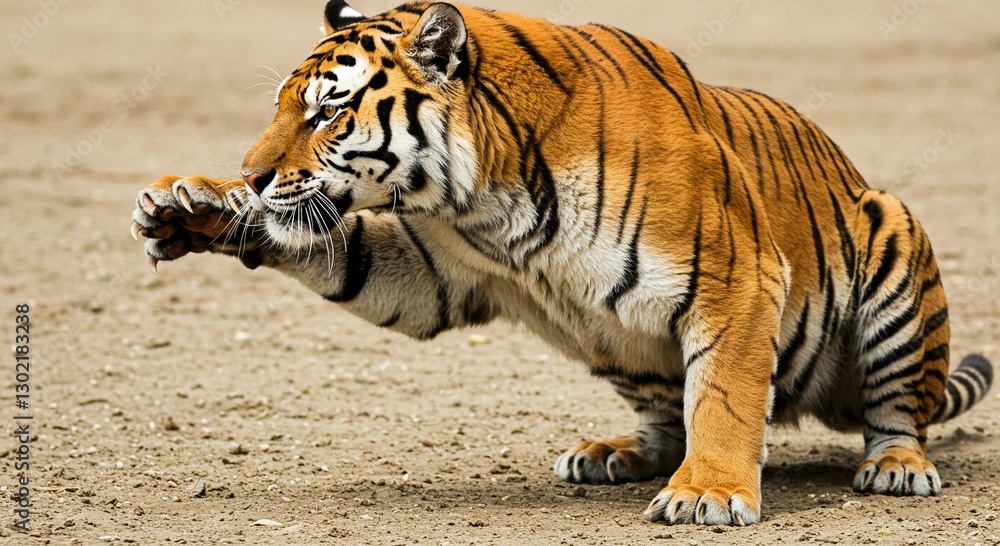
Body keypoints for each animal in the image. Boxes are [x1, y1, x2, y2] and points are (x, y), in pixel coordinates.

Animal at [130, 0, 994, 526]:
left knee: (898, 409)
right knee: (663, 414)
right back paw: (613, 453)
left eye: (328, 111)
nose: (251, 176)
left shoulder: (737, 277)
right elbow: (343, 255)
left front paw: (710, 495)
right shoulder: (432, 269)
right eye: (282, 106)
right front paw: (190, 203)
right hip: (609, 339)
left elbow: (723, 395)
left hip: (894, 238)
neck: (483, 200)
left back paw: (896, 467)